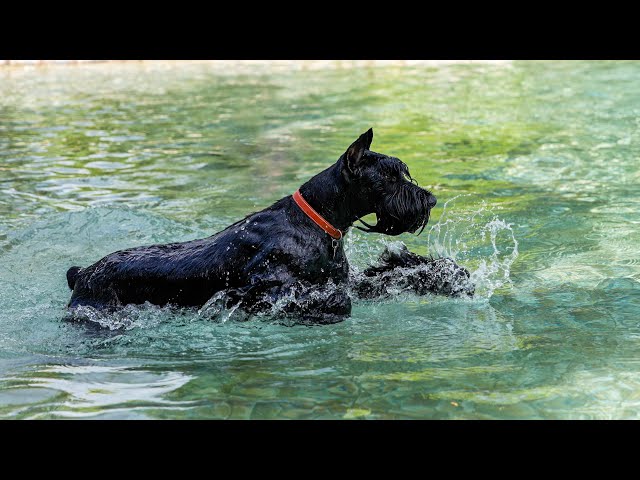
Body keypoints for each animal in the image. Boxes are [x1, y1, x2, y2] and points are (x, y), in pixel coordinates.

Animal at [67, 129, 472, 322]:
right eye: (389, 177)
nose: (430, 200)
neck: (315, 221)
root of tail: (81, 273)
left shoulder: (345, 280)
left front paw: (444, 274)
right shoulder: (260, 290)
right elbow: (325, 300)